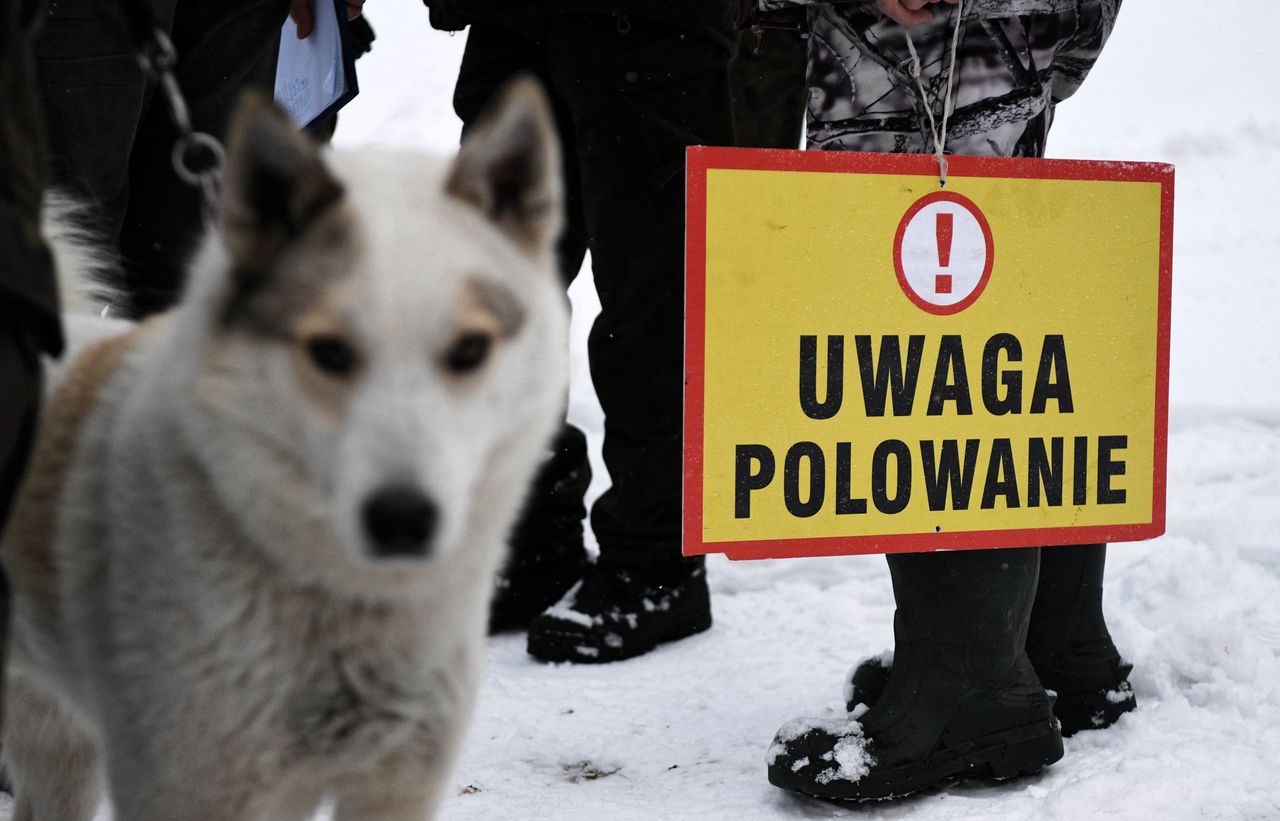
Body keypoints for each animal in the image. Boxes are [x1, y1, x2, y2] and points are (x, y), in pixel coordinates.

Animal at [1, 78, 570, 819]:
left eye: (469, 349)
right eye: (328, 351)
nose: (402, 518)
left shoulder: (394, 784)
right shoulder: (187, 787)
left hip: (61, 746)